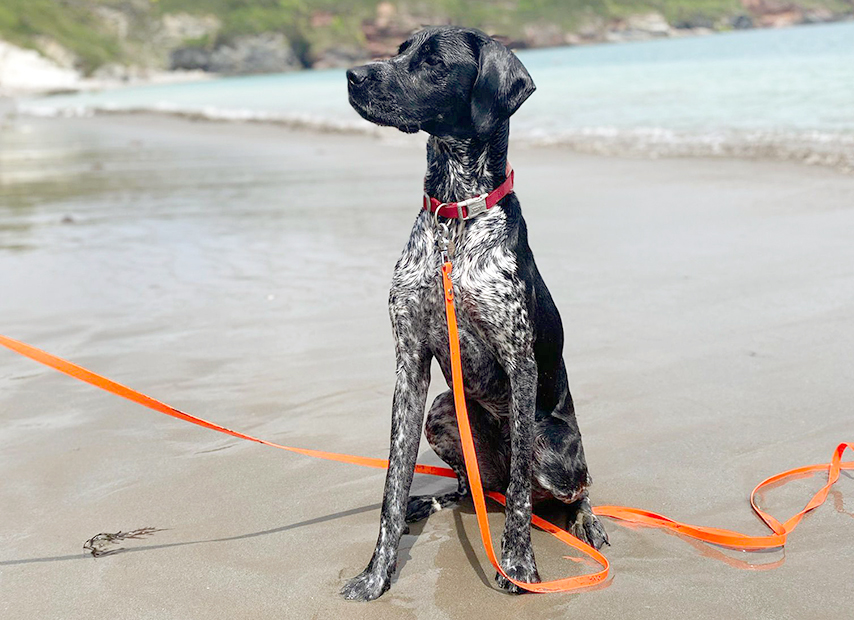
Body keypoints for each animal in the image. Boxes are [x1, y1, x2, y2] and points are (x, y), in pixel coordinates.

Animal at [342, 25, 608, 600]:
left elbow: (522, 504)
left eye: (433, 62)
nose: (352, 75)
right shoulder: (410, 364)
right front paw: (376, 574)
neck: (454, 218)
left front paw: (519, 566)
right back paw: (430, 502)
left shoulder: (519, 361)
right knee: (475, 491)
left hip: (553, 445)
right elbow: (391, 483)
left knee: (565, 489)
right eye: (399, 49)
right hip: (444, 409)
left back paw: (587, 521)